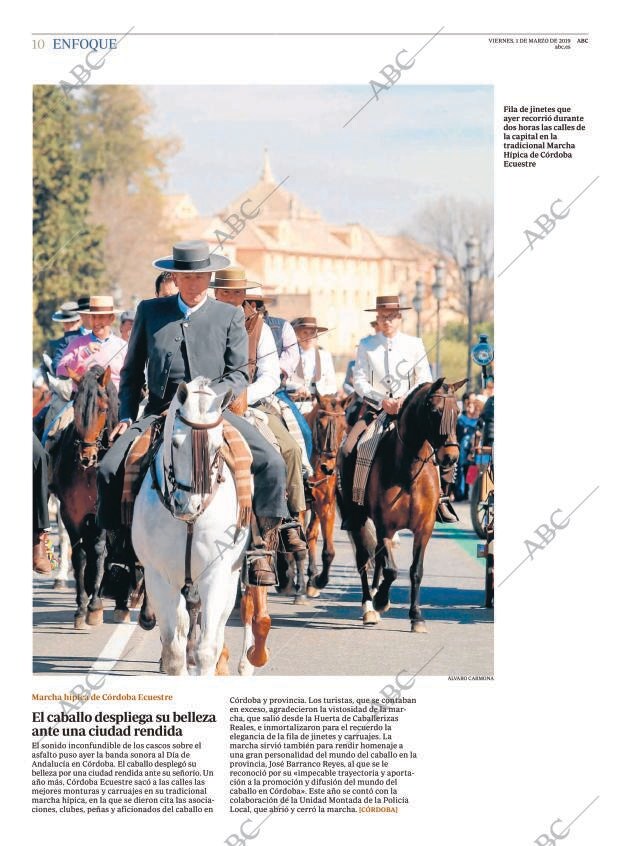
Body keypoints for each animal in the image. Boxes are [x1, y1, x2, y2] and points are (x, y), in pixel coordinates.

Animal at [49, 364, 119, 628]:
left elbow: (99, 551)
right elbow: (79, 554)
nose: (86, 457)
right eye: (77, 407)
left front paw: (95, 606)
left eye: (103, 409)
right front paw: (81, 608)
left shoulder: (100, 513)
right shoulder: (70, 511)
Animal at [133, 380, 254, 680]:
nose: (189, 504)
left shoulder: (215, 574)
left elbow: (207, 648)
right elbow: (174, 651)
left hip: (231, 577)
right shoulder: (159, 577)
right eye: (176, 443)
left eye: (216, 446)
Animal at [340, 380, 464, 632]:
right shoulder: (385, 526)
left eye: (457, 412)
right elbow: (391, 569)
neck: (409, 470)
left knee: (377, 558)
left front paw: (416, 616)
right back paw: (369, 606)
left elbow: (415, 571)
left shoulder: (424, 528)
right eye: (435, 411)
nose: (450, 457)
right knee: (363, 559)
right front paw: (381, 601)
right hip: (359, 522)